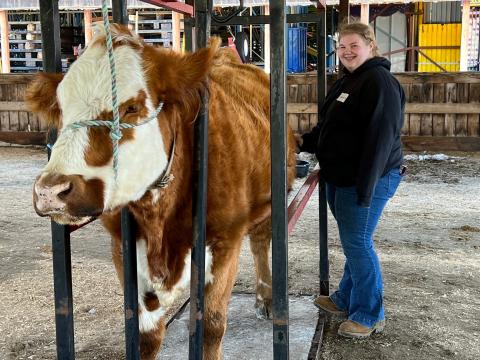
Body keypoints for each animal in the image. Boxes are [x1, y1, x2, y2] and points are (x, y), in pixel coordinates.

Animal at [27, 23, 296, 358]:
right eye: (61, 108)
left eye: (131, 108)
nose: (50, 191)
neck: (159, 221)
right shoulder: (123, 248)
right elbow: (146, 334)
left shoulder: (225, 242)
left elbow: (211, 326)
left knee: (260, 243)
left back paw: (267, 298)